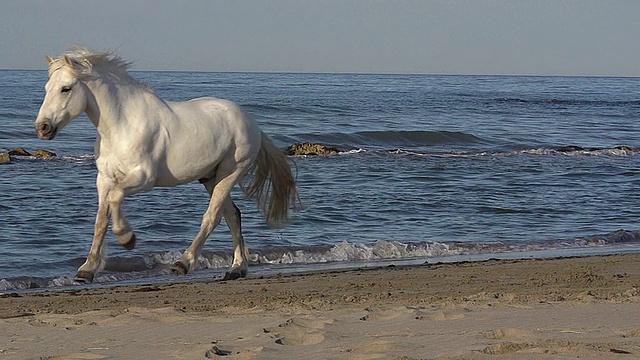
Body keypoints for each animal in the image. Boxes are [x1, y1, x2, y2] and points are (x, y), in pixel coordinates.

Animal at [32, 47, 298, 284]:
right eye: (46, 88)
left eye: (66, 88)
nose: (42, 127)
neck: (122, 125)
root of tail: (251, 122)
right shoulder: (104, 179)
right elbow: (100, 221)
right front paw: (86, 270)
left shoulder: (142, 178)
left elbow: (116, 199)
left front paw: (127, 238)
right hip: (210, 177)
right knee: (233, 215)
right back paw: (236, 269)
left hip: (230, 172)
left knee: (212, 216)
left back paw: (184, 263)